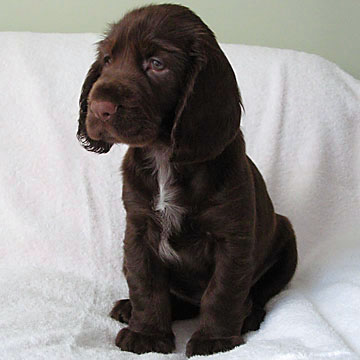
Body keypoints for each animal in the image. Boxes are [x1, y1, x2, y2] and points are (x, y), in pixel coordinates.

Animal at [76, 3, 298, 358]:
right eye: (107, 60)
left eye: (157, 64)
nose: (99, 108)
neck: (164, 156)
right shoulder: (138, 231)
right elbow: (146, 285)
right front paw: (147, 334)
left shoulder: (231, 238)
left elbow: (222, 292)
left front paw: (214, 342)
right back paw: (128, 309)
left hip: (287, 240)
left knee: (259, 294)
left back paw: (249, 317)